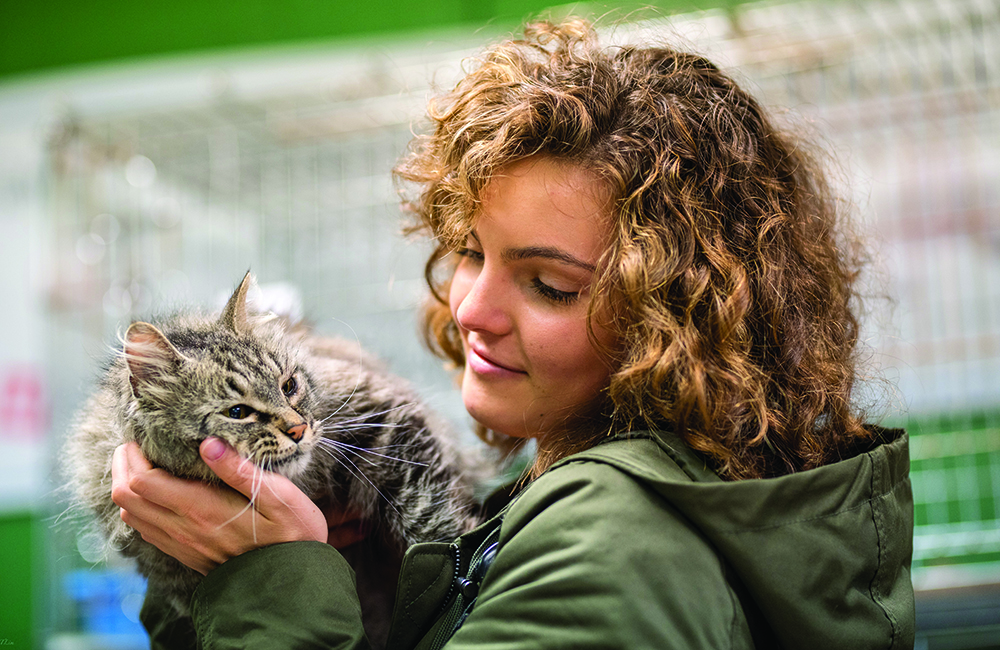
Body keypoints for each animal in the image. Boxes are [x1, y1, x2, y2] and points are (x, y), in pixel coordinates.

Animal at [65, 270, 480, 644]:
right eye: (237, 412)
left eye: (289, 386)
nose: (298, 429)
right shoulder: (175, 577)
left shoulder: (389, 418)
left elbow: (427, 514)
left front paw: (455, 556)